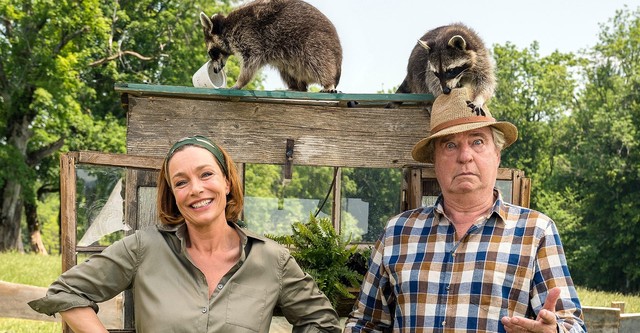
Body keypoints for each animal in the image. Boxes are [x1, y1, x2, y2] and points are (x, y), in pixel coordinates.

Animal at [200, 0, 342, 92]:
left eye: (211, 52)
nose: (215, 70)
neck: (227, 28)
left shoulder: (248, 35)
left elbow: (250, 63)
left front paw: (240, 82)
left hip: (316, 42)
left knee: (319, 62)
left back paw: (328, 82)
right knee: (286, 69)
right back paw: (296, 87)